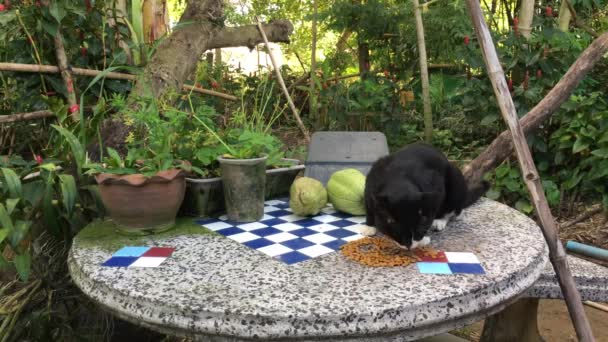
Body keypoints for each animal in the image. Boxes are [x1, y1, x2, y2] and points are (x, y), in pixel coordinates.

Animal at [360, 142, 490, 248]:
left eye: (422, 223)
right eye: (393, 224)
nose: (409, 244)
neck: (398, 178)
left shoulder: (436, 186)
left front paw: (422, 240)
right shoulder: (370, 183)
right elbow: (369, 206)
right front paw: (369, 226)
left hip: (455, 176)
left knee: (456, 209)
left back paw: (441, 220)